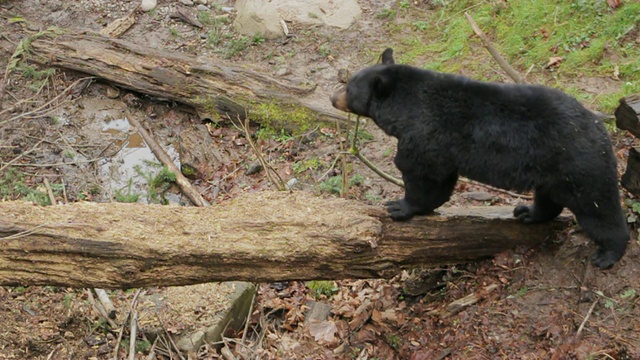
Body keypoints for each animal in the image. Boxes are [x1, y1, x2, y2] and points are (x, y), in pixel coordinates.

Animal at [332, 47, 628, 268]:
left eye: (348, 87)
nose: (333, 98)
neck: (405, 106)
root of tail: (601, 128)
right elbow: (440, 180)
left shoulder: (426, 134)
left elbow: (423, 175)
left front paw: (399, 206)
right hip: (552, 171)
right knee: (549, 197)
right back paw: (527, 213)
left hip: (578, 166)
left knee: (598, 209)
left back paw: (608, 254)